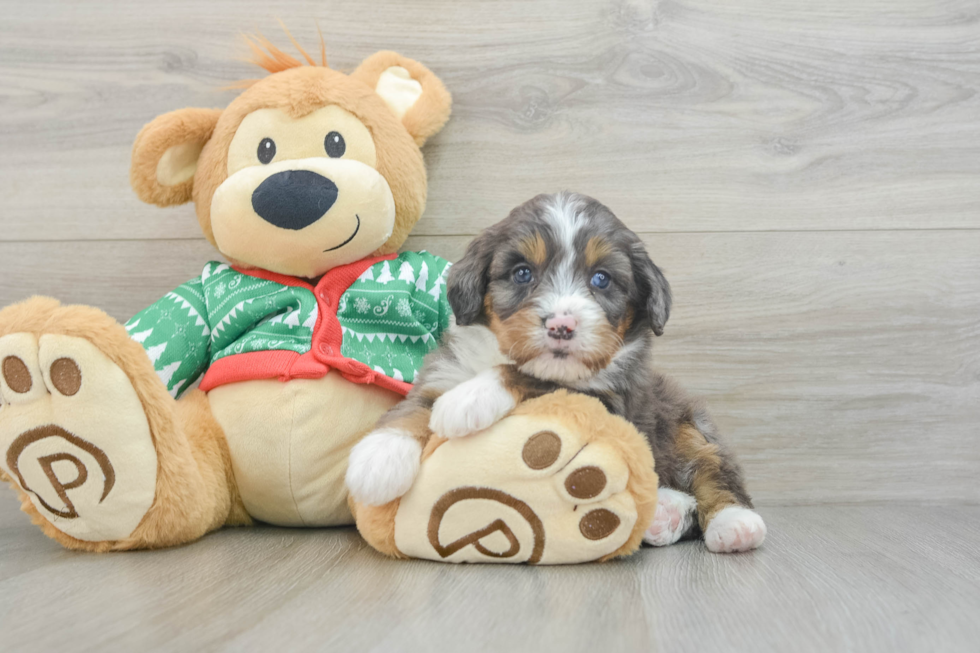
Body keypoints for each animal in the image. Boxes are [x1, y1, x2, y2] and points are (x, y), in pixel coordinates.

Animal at [344, 192, 764, 552]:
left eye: (601, 278)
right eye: (522, 273)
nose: (562, 326)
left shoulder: (606, 398)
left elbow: (535, 378)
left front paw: (469, 399)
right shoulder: (446, 370)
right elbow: (413, 407)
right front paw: (378, 459)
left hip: (689, 427)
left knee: (714, 472)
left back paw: (734, 524)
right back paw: (666, 513)